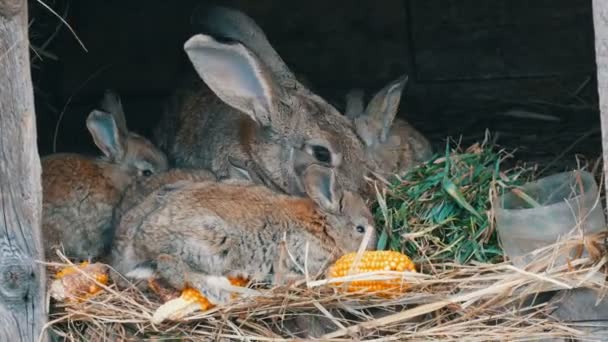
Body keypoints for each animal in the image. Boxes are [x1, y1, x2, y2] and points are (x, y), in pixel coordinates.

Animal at [108, 164, 376, 304]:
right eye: (360, 229)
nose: (373, 247)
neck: (324, 225)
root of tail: (142, 239)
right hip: (212, 245)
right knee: (171, 266)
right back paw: (221, 292)